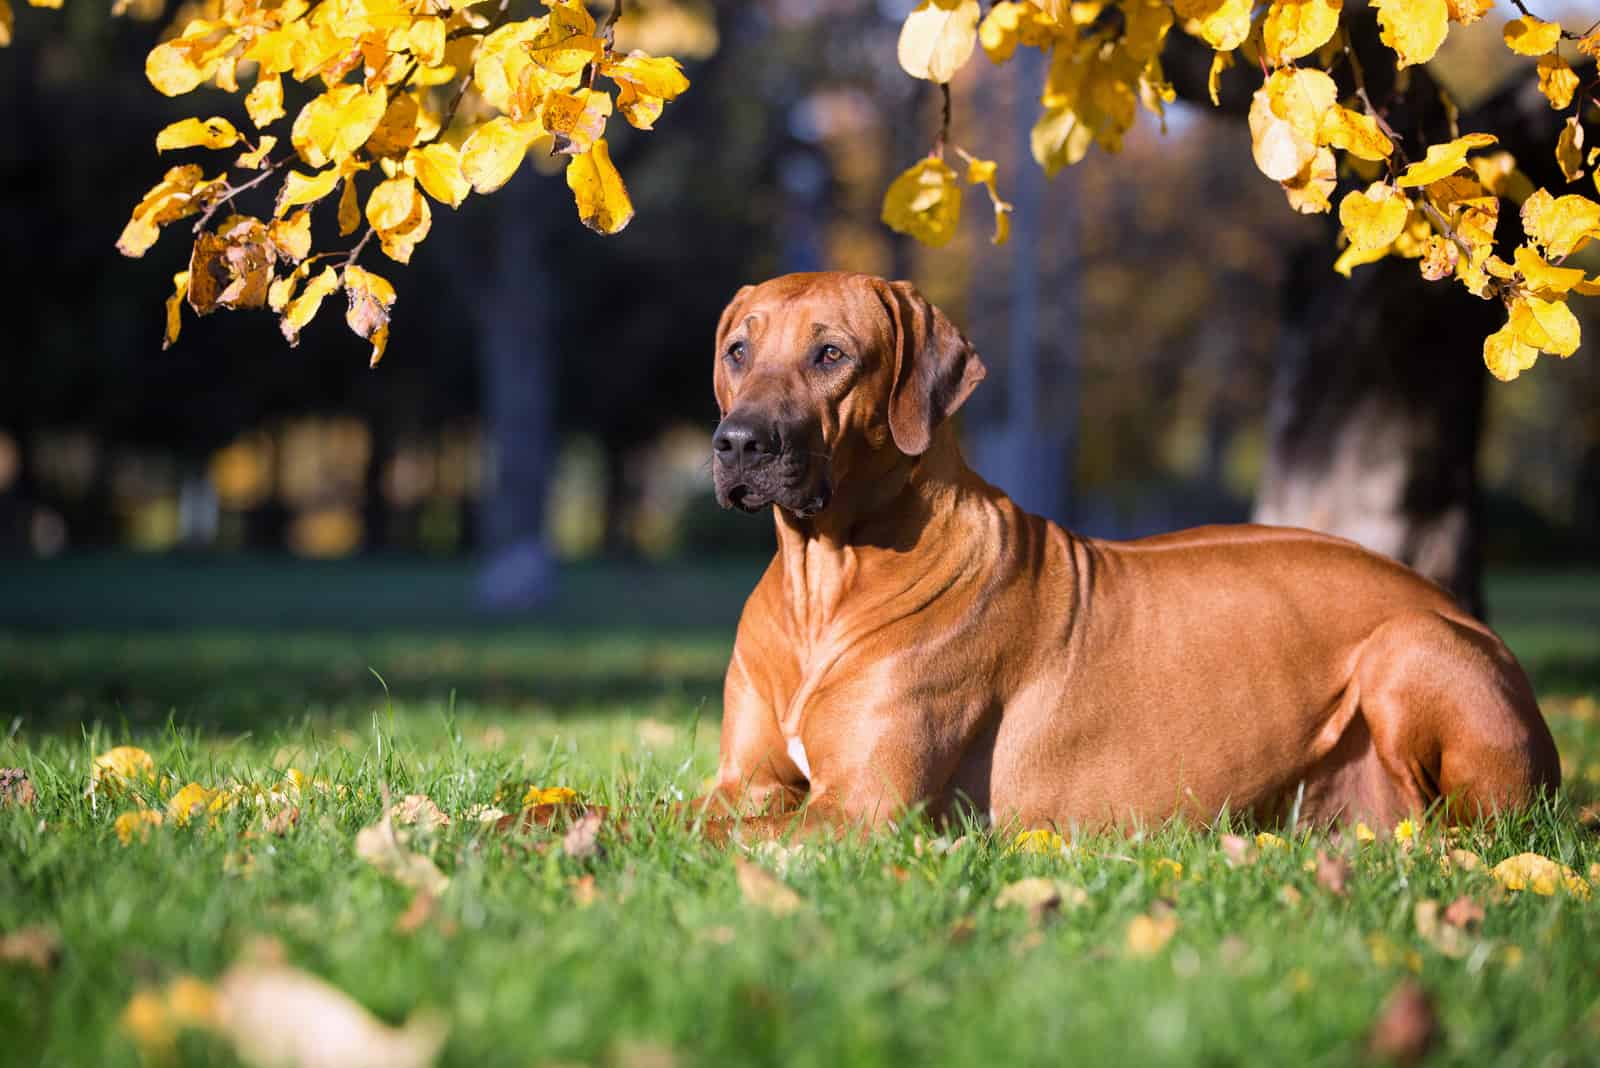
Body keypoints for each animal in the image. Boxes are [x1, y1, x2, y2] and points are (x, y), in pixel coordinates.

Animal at [691, 273, 1561, 831]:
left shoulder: (864, 810)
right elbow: (673, 815)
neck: (822, 580)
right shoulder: (746, 781)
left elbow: (720, 840)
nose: (737, 443)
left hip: (1409, 648)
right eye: (737, 351)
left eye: (832, 355)